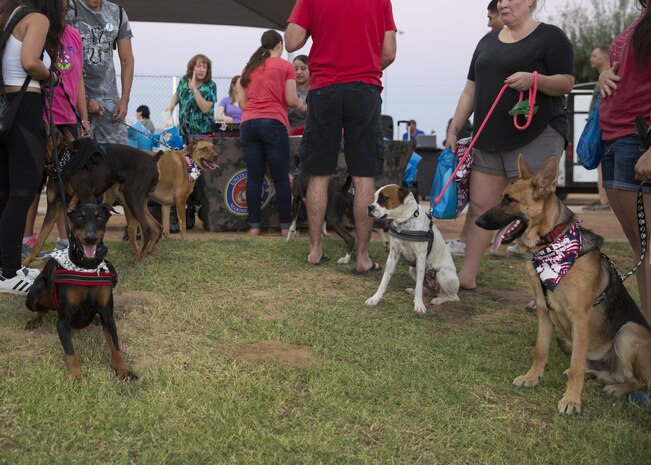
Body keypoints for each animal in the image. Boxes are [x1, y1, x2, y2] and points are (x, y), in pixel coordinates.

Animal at [364, 184, 460, 312]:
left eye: (383, 198)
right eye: (374, 198)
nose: (369, 207)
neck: (405, 222)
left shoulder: (420, 259)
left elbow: (419, 285)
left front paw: (419, 305)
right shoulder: (393, 256)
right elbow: (384, 280)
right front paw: (375, 298)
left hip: (443, 274)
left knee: (453, 297)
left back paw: (438, 300)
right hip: (412, 270)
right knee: (427, 290)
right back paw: (415, 291)